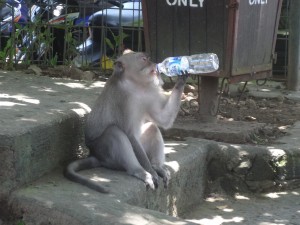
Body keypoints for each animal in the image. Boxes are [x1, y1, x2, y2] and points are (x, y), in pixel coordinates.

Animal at [64, 51, 188, 193]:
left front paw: (182, 77)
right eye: (144, 59)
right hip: (105, 153)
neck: (135, 85)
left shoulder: (149, 93)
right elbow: (129, 134)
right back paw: (140, 171)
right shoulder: (123, 98)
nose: (155, 64)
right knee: (114, 132)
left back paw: (156, 166)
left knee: (152, 127)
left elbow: (164, 118)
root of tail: (95, 155)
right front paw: (151, 171)